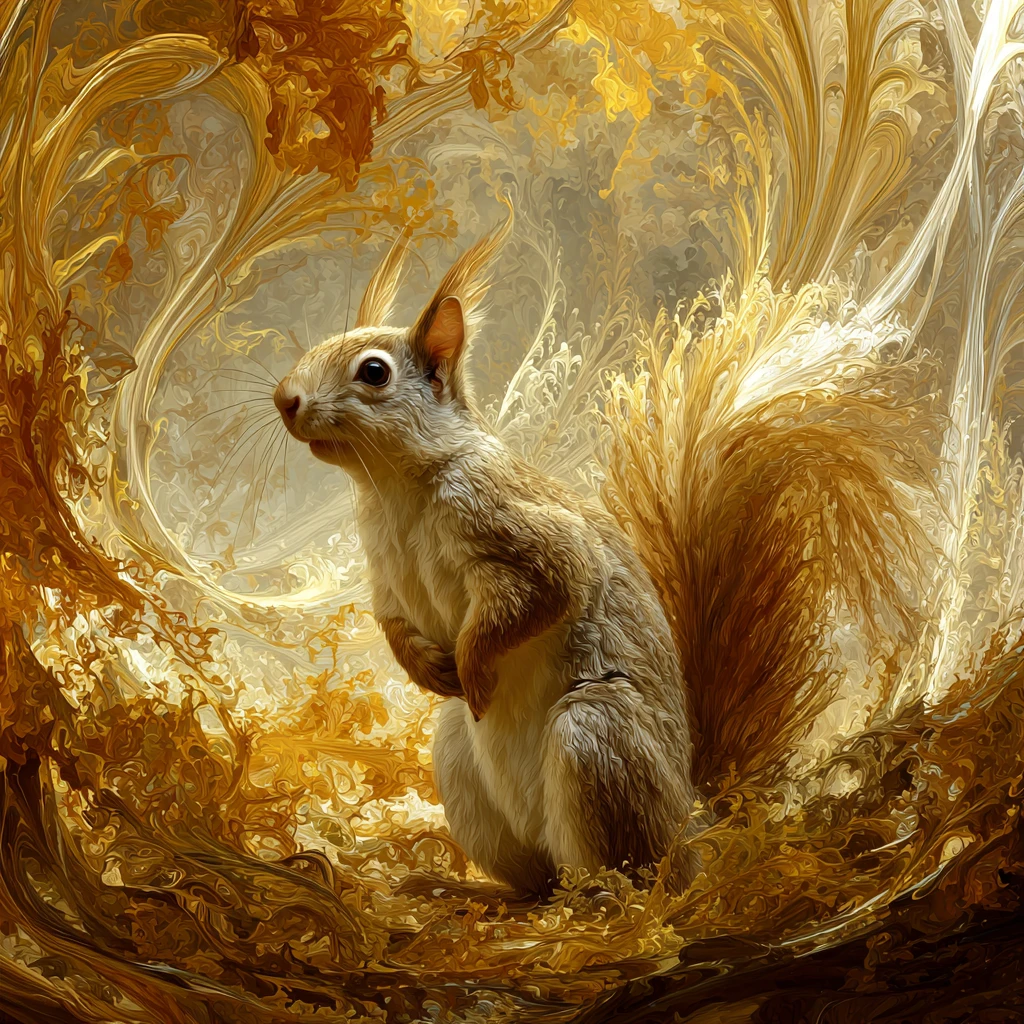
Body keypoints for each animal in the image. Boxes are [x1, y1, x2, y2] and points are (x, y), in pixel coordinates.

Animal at [274, 213, 697, 892]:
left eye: (374, 372)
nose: (285, 399)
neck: (396, 489)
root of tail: (692, 834)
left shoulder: (516, 530)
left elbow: (544, 589)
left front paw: (471, 664)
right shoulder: (385, 576)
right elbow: (392, 622)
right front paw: (430, 670)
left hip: (597, 741)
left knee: (617, 877)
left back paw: (597, 902)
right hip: (459, 761)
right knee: (532, 883)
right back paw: (464, 891)